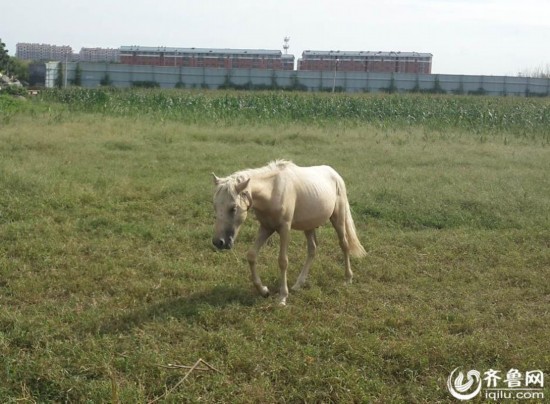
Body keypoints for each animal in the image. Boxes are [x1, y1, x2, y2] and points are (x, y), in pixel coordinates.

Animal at [213, 159, 368, 304]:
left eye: (233, 208)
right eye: (214, 206)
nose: (219, 242)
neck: (272, 190)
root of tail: (335, 175)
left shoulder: (284, 229)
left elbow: (283, 261)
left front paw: (282, 297)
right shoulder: (266, 227)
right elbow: (251, 255)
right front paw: (264, 291)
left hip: (338, 219)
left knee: (344, 245)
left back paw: (348, 279)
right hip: (309, 226)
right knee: (312, 250)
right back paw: (298, 284)